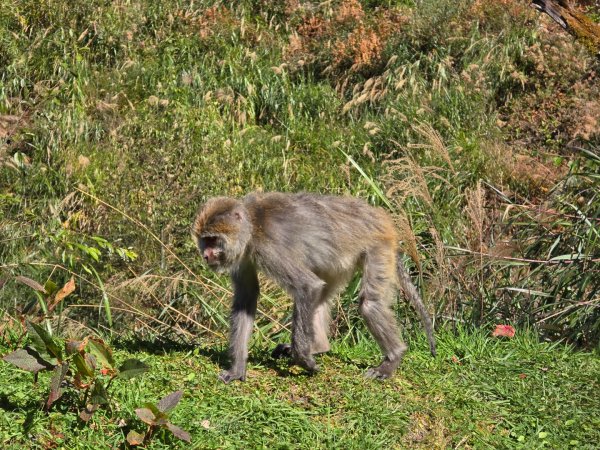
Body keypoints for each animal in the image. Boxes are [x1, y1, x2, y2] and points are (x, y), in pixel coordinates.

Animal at [192, 192, 436, 382]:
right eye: (205, 240)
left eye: (213, 239)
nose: (206, 255)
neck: (251, 228)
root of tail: (377, 214)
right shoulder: (243, 256)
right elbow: (247, 297)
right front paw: (237, 369)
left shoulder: (269, 249)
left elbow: (307, 286)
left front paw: (302, 359)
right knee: (322, 294)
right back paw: (320, 346)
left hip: (378, 245)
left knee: (369, 303)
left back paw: (392, 358)